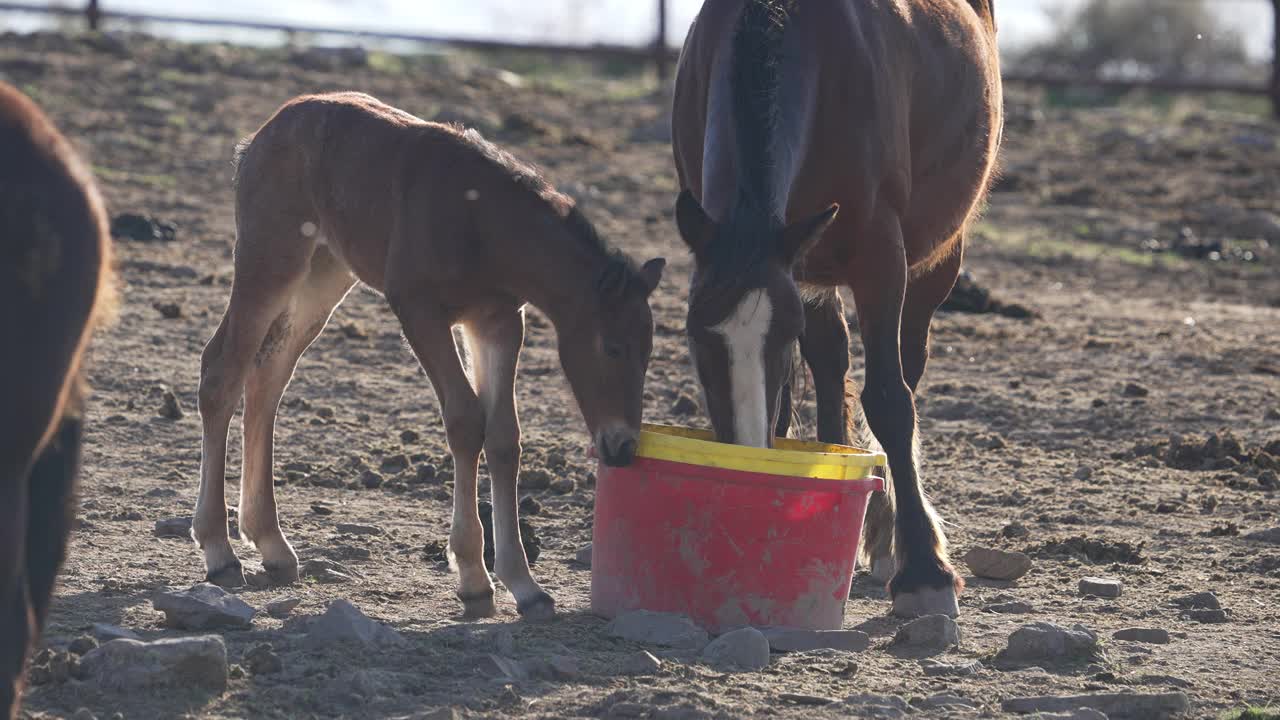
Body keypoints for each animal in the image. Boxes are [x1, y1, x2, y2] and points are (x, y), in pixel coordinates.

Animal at [194, 90, 665, 617]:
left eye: (649, 353)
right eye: (611, 347)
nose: (622, 447)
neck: (482, 223)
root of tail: (260, 136)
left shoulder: (499, 322)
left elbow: (504, 437)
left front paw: (524, 583)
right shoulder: (419, 310)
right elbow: (465, 420)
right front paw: (474, 577)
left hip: (325, 272)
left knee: (268, 376)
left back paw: (271, 543)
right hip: (271, 258)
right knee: (222, 371)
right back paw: (220, 551)